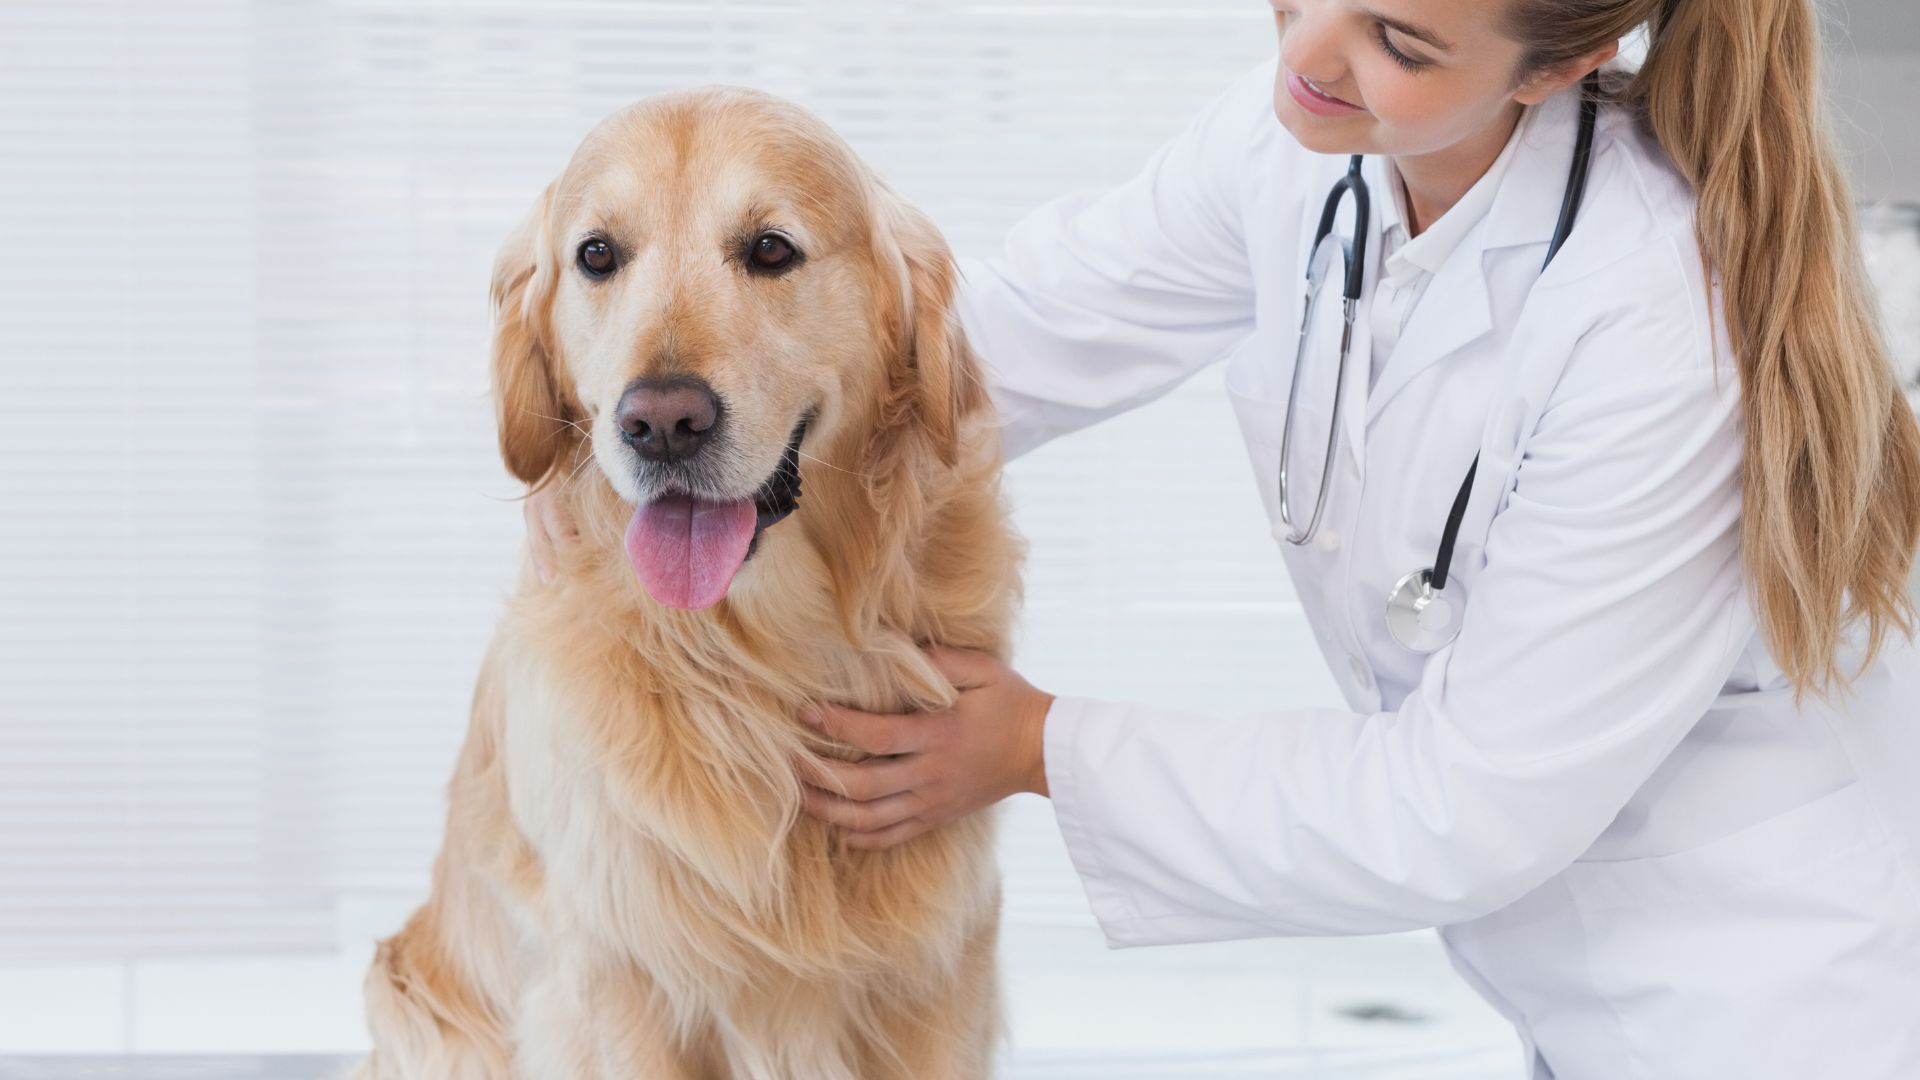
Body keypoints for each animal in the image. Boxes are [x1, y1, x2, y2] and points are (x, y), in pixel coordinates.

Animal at [355, 88, 1029, 1076]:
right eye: (597, 255)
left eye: (771, 250)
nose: (662, 422)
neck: (761, 658)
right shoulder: (615, 977)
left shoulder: (941, 967)